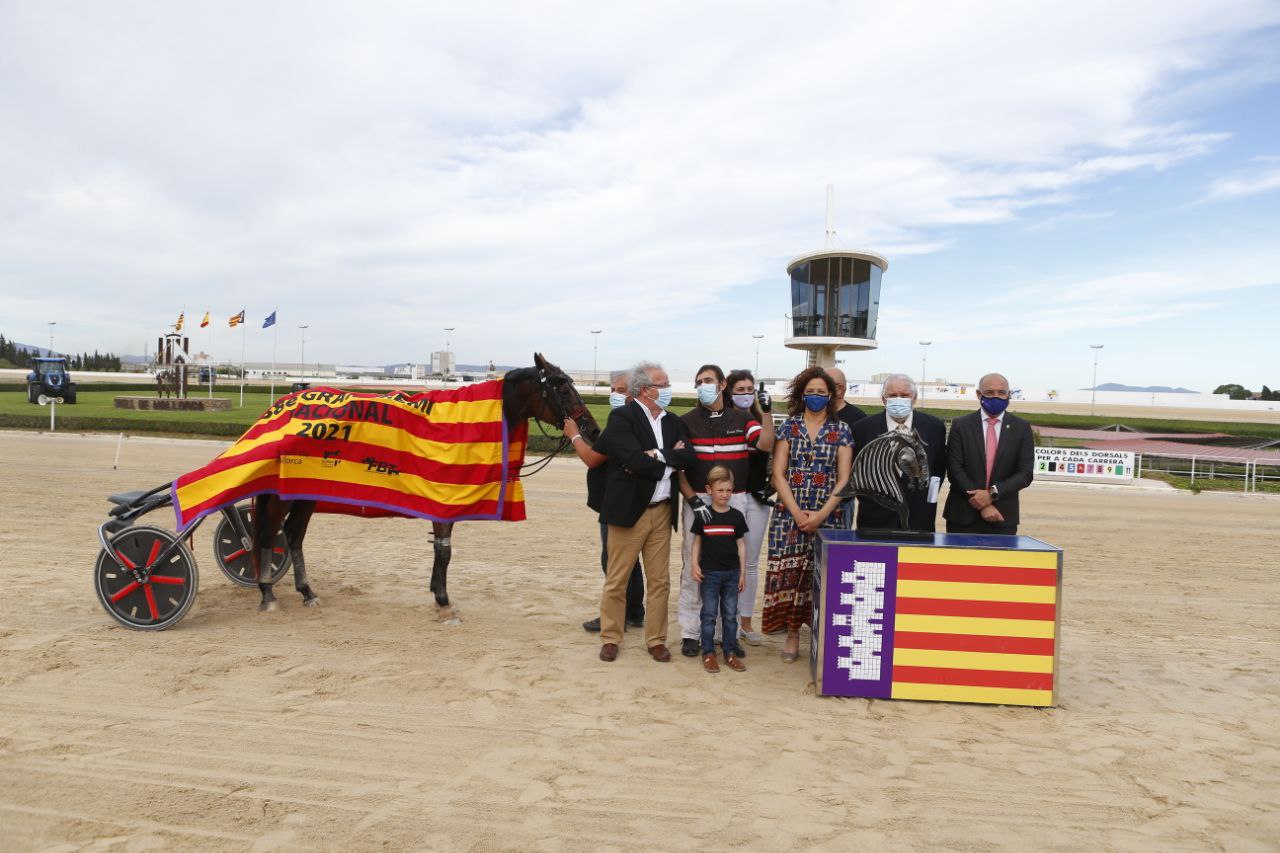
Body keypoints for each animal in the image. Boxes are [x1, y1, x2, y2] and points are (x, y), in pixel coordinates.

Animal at [249, 348, 599, 622]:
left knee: (294, 534)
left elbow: (441, 550)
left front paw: (437, 593)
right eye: (562, 388)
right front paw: (444, 602)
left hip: (307, 488)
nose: (592, 430)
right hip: (283, 492)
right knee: (269, 532)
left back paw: (307, 591)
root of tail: (281, 405)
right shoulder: (443, 493)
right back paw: (267, 593)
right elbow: (444, 551)